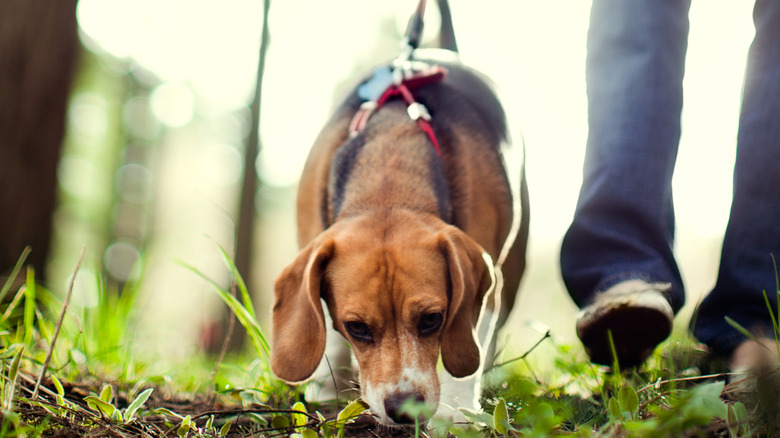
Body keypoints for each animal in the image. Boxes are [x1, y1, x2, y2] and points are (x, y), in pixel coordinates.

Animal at [272, 6, 528, 428]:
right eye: (356, 327)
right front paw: (326, 389)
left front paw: (457, 413)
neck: (390, 176)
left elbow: (470, 342)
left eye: (432, 320)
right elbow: (322, 322)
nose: (404, 409)